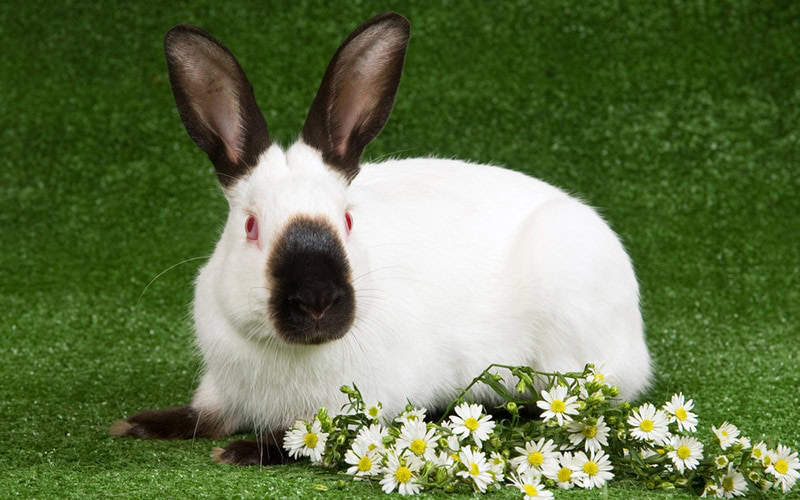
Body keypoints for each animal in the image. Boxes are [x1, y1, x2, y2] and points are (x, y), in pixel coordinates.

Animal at [110, 12, 651, 466]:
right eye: (250, 227)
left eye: (348, 221)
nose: (317, 302)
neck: (289, 351)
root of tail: (638, 343)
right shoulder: (222, 388)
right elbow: (202, 416)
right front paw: (136, 425)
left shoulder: (361, 403)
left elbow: (303, 439)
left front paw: (243, 451)